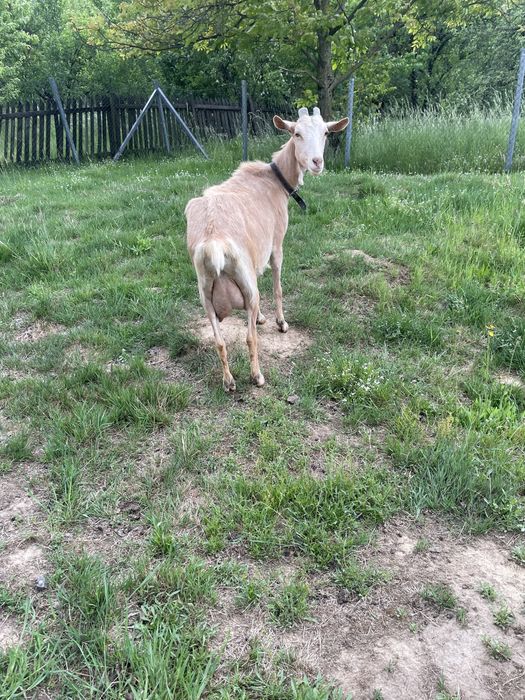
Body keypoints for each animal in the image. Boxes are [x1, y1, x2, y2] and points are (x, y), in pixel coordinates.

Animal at [185, 107, 348, 391]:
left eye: (326, 133)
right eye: (296, 133)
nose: (317, 162)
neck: (275, 180)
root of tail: (214, 243)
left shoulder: (256, 253)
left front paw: (261, 317)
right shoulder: (276, 243)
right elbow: (277, 286)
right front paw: (280, 322)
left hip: (206, 292)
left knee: (220, 340)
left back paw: (229, 381)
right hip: (243, 280)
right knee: (250, 337)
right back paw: (257, 376)